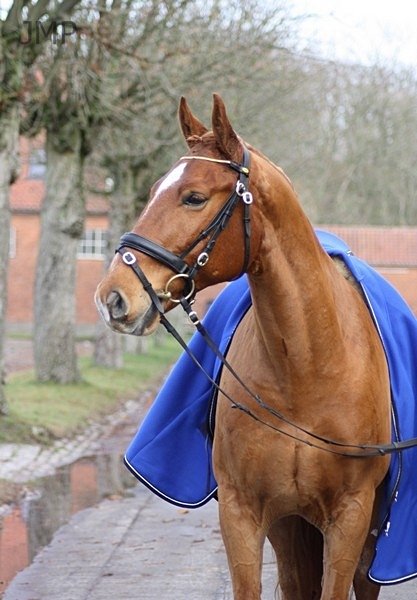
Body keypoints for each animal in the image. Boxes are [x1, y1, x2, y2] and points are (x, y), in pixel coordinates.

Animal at [95, 94, 391, 599]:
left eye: (194, 197)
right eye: (152, 189)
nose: (113, 296)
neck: (307, 368)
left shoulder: (351, 516)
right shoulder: (243, 513)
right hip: (291, 529)